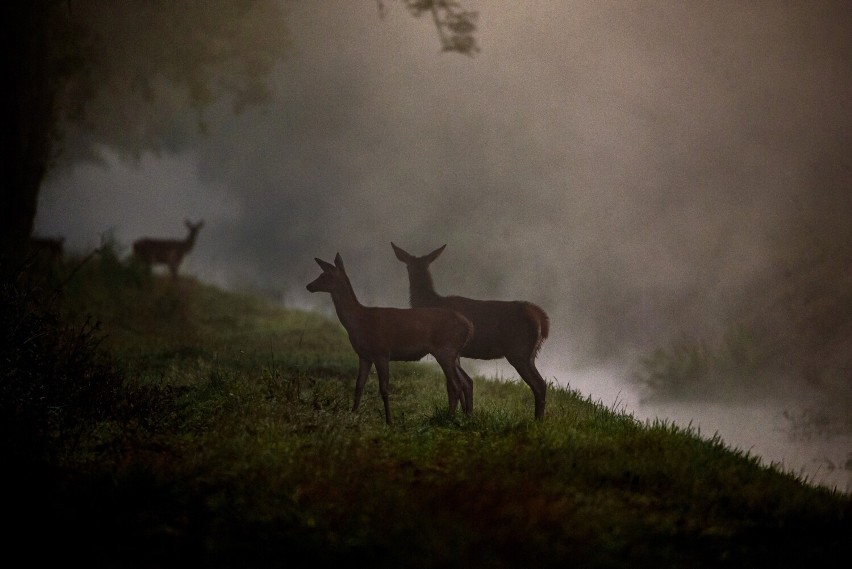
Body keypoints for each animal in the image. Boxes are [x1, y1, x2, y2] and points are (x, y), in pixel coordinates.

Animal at [308, 251, 480, 424]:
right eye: (321, 274)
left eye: (325, 276)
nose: (309, 286)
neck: (359, 321)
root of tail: (469, 326)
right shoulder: (364, 355)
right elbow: (359, 385)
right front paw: (353, 413)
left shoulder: (382, 352)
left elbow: (384, 388)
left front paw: (389, 420)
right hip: (453, 354)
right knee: (467, 381)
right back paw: (467, 416)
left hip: (445, 350)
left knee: (457, 384)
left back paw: (449, 418)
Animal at [394, 242, 552, 420]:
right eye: (409, 266)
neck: (430, 302)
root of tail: (542, 319)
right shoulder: (456, 352)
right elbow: (462, 383)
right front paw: (466, 413)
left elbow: (452, 384)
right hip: (530, 354)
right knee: (542, 383)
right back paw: (538, 419)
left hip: (519, 351)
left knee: (538, 384)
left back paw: (537, 420)